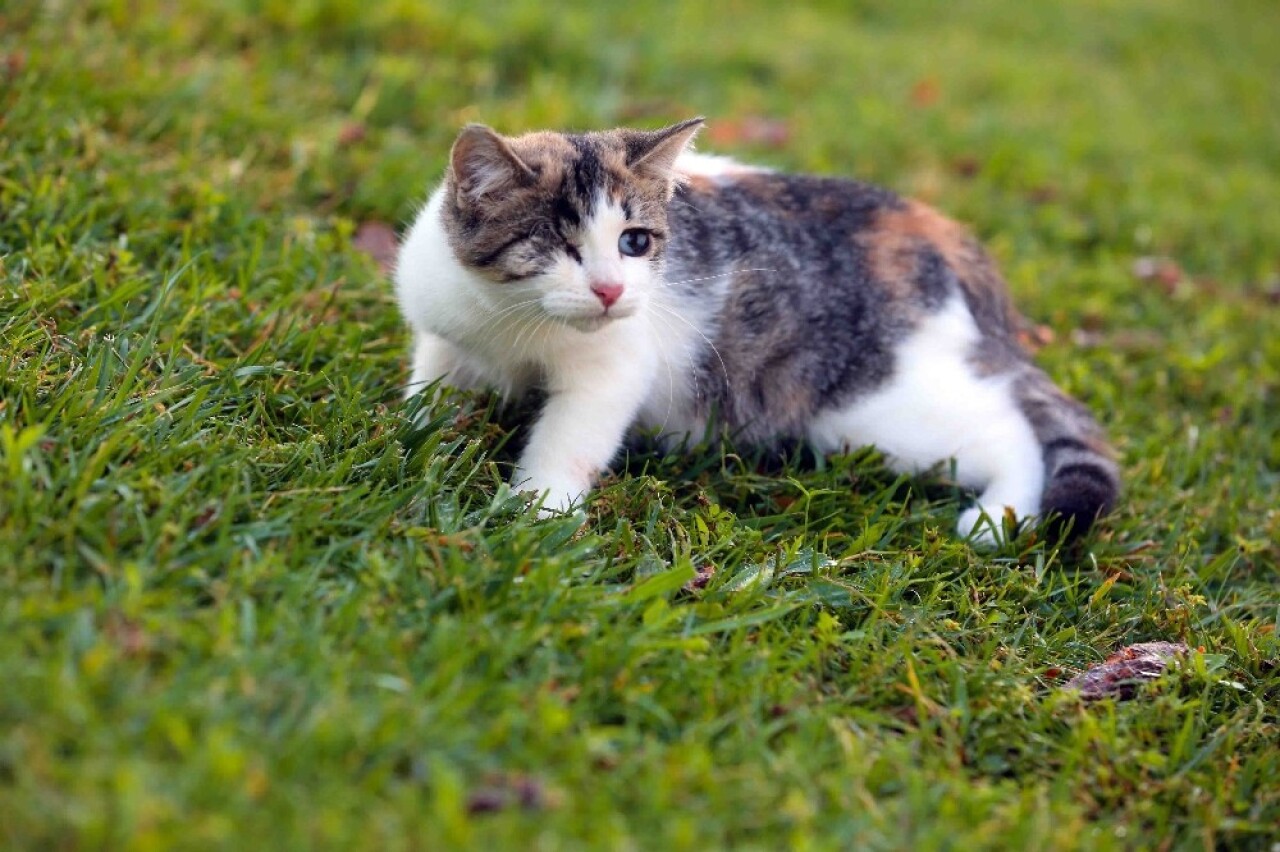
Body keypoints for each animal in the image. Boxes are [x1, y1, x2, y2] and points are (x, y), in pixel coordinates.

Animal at [391, 116, 1121, 539]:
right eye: (556, 243)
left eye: (634, 242)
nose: (610, 290)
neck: (509, 318)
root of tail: (934, 227)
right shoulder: (445, 329)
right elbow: (433, 388)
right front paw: (414, 438)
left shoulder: (613, 370)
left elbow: (568, 441)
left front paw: (534, 518)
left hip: (877, 407)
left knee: (1008, 430)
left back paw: (996, 517)